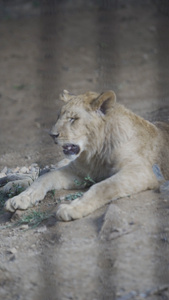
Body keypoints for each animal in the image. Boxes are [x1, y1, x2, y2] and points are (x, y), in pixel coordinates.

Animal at [4, 89, 169, 220]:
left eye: (73, 119)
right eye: (58, 116)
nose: (52, 135)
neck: (96, 152)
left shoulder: (142, 171)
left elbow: (102, 186)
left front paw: (71, 208)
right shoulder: (78, 171)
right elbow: (46, 177)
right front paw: (23, 197)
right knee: (43, 171)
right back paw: (13, 186)